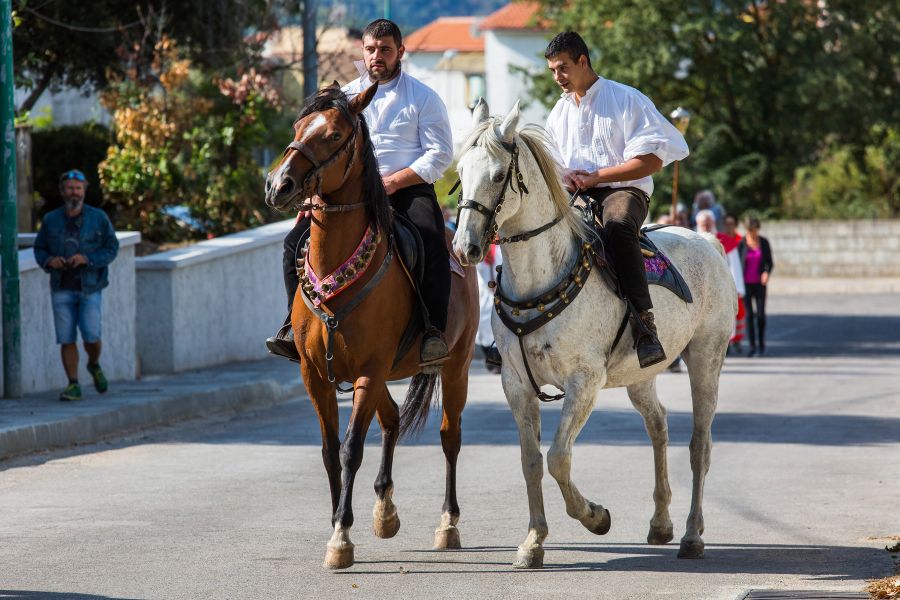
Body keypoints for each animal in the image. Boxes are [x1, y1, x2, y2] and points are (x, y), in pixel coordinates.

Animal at [266, 83, 482, 568]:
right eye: (298, 126)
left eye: (332, 134)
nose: (278, 184)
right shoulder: (316, 375)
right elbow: (330, 451)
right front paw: (336, 522)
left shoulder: (368, 370)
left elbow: (351, 448)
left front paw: (341, 539)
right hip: (383, 374)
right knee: (393, 418)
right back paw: (385, 510)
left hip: (454, 366)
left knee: (450, 437)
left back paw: (448, 524)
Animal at [454, 101, 736, 568]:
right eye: (459, 173)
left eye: (496, 176)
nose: (464, 248)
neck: (542, 277)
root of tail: (708, 241)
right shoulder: (516, 384)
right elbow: (531, 461)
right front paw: (533, 541)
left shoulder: (584, 382)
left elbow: (558, 457)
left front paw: (595, 517)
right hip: (641, 374)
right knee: (658, 426)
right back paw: (661, 522)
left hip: (705, 359)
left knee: (701, 445)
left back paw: (692, 535)